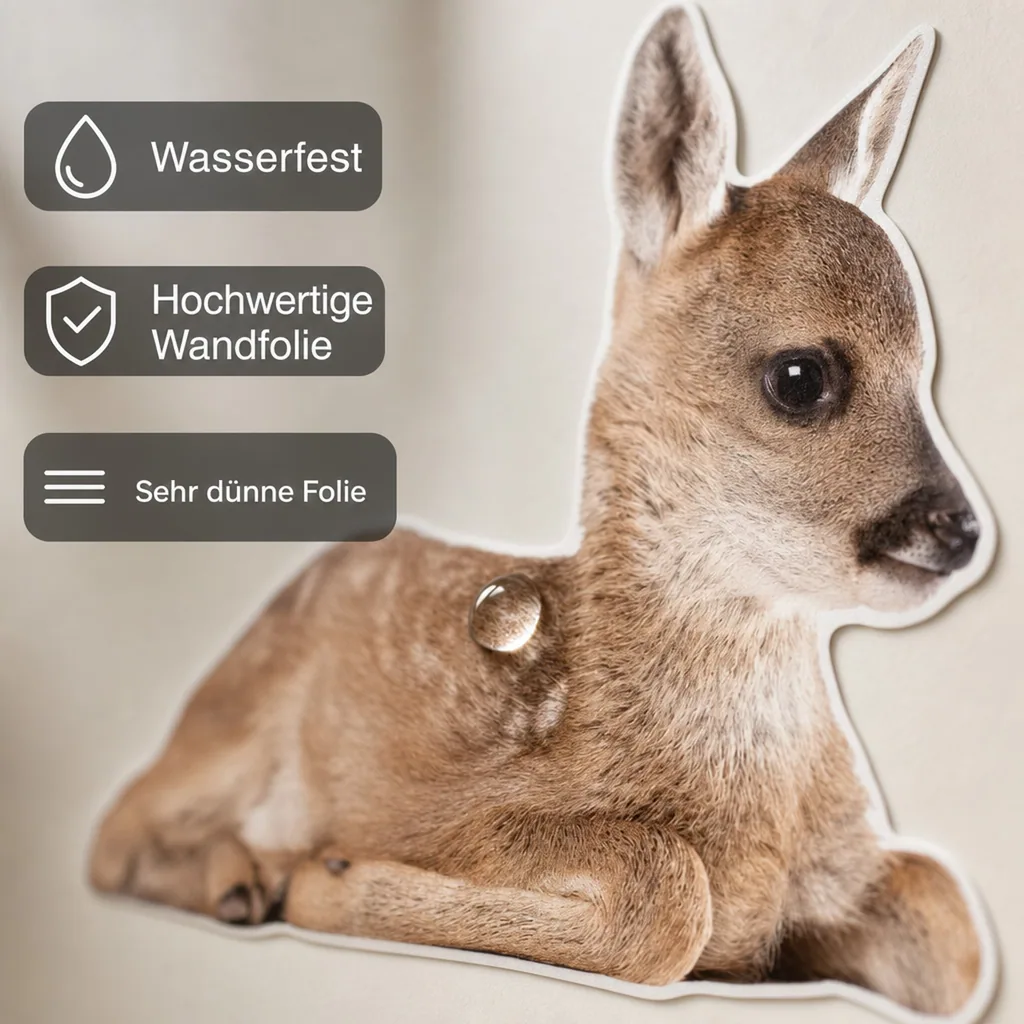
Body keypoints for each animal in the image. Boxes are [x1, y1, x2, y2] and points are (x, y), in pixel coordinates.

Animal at [88, 6, 995, 1018]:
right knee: (110, 837)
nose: (961, 532)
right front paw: (326, 876)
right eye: (800, 376)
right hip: (232, 722)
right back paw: (246, 877)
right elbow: (666, 895)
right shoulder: (454, 812)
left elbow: (953, 929)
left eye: (927, 367)